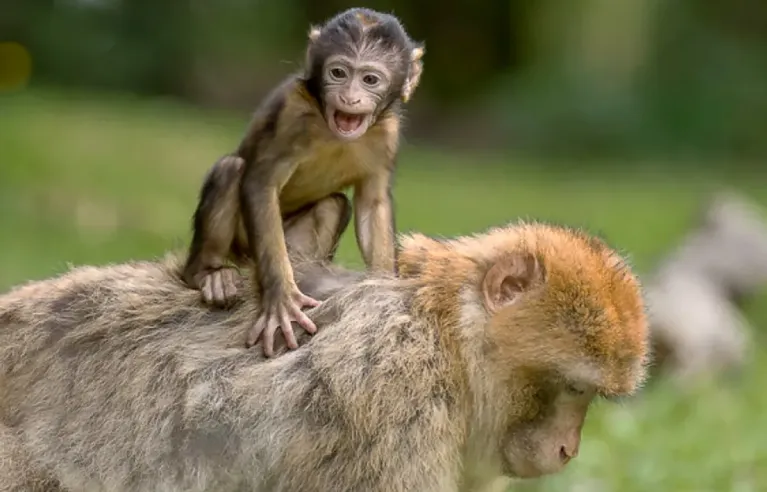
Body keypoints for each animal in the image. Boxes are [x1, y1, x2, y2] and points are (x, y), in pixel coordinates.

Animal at [181, 8, 425, 356]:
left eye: (369, 79)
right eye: (338, 73)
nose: (350, 98)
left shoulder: (386, 134)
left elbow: (372, 203)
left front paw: (379, 293)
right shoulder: (291, 113)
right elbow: (261, 183)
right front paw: (281, 300)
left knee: (333, 204)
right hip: (243, 245)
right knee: (231, 169)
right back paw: (207, 273)